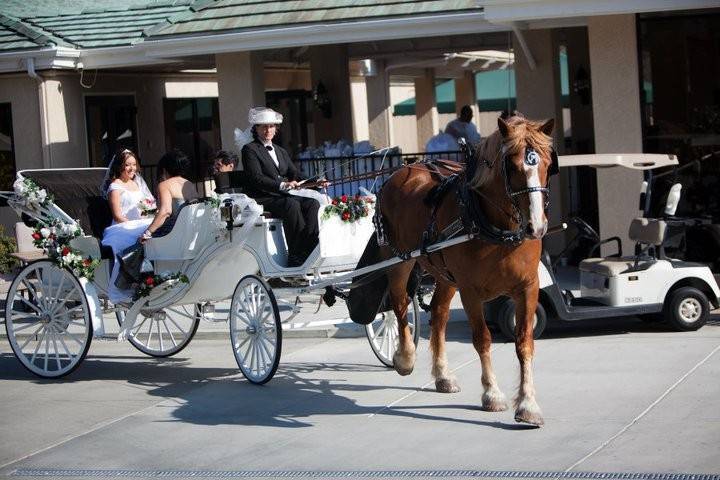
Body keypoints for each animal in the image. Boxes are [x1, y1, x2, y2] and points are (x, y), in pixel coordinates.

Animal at [376, 114, 556, 426]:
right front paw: (492, 394)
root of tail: (404, 169)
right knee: (398, 306)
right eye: (511, 166)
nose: (537, 226)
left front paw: (528, 404)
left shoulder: (528, 287)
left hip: (445, 276)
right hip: (399, 261)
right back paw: (405, 357)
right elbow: (482, 339)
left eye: (546, 163)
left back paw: (442, 375)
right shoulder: (471, 291)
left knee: (438, 314)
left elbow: (524, 342)